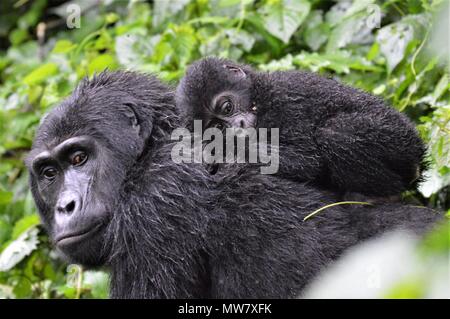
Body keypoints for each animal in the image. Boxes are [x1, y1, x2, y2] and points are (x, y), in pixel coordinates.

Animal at [176, 57, 426, 198]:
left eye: (227, 107)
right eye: (217, 126)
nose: (237, 126)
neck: (258, 95)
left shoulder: (284, 100)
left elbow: (307, 161)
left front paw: (221, 148)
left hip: (400, 140)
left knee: (335, 134)